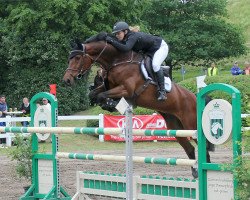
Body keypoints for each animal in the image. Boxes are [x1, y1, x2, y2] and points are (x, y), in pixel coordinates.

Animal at [63, 32, 211, 178]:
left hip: (190, 124)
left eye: (77, 58)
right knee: (190, 148)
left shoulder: (126, 89)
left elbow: (102, 95)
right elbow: (93, 94)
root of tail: (195, 97)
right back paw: (196, 172)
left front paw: (110, 104)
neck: (117, 61)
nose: (67, 80)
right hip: (175, 126)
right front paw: (107, 104)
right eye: (69, 58)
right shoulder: (108, 87)